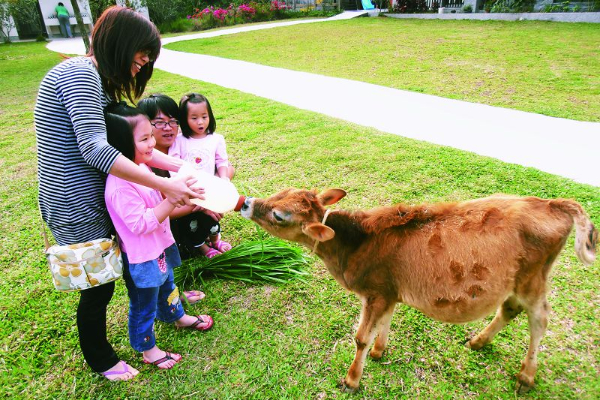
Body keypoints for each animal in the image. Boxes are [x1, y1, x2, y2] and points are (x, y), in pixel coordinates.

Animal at [241, 189, 596, 392]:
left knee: (540, 320)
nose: (246, 203)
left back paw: (526, 376)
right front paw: (380, 352)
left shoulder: (376, 291)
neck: (356, 245)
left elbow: (360, 337)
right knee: (509, 308)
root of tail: (553, 204)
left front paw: (352, 379)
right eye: (282, 191)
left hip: (533, 280)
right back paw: (479, 341)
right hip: (516, 281)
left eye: (279, 215)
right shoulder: (388, 291)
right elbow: (384, 324)